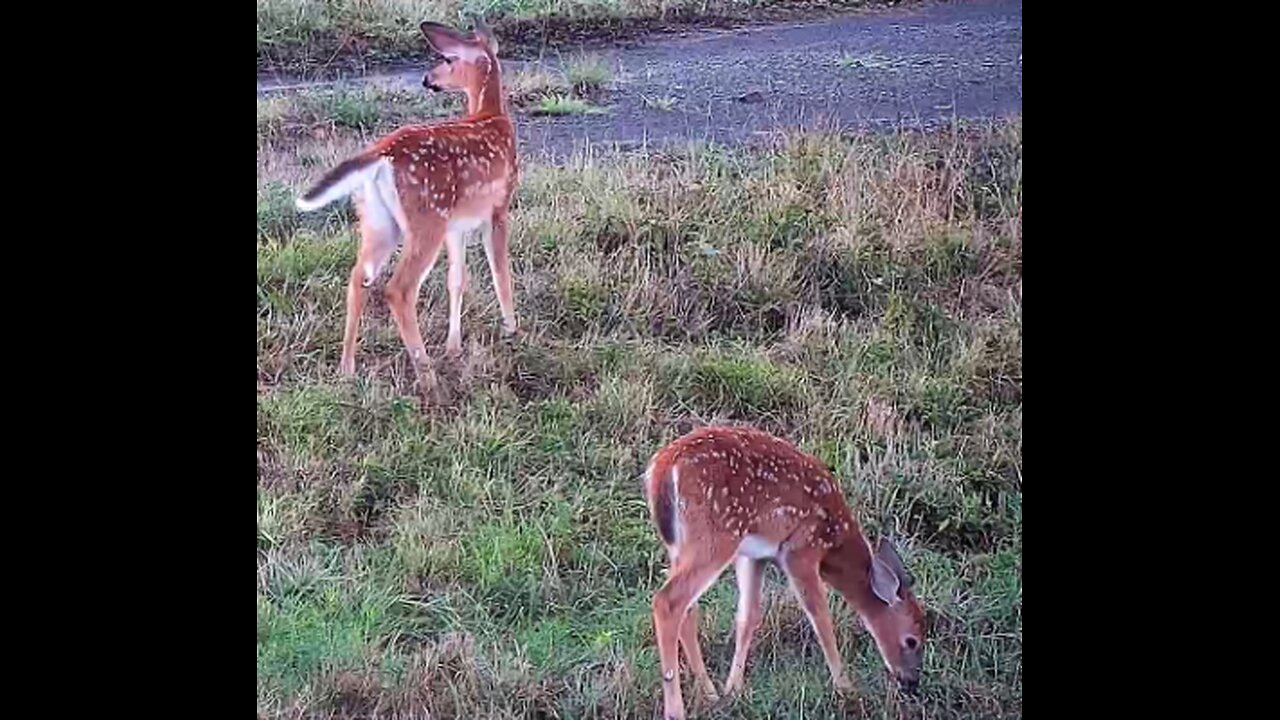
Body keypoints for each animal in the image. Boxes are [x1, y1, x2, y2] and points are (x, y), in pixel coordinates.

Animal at [294, 19, 518, 378]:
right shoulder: (498, 207)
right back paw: (426, 373)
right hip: (426, 217)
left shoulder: (456, 225)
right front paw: (512, 330)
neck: (491, 115)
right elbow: (501, 272)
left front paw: (454, 348)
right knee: (399, 289)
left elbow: (457, 279)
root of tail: (381, 154)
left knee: (359, 277)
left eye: (447, 59)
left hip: (378, 220)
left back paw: (347, 368)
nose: (427, 79)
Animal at [644, 426, 927, 720]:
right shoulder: (800, 550)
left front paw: (734, 690)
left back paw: (710, 694)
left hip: (681, 545)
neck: (834, 540)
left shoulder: (755, 556)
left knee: (688, 608)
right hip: (715, 537)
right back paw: (676, 710)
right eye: (912, 641)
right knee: (668, 601)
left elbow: (748, 616)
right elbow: (820, 617)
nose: (911, 682)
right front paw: (846, 689)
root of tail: (662, 468)